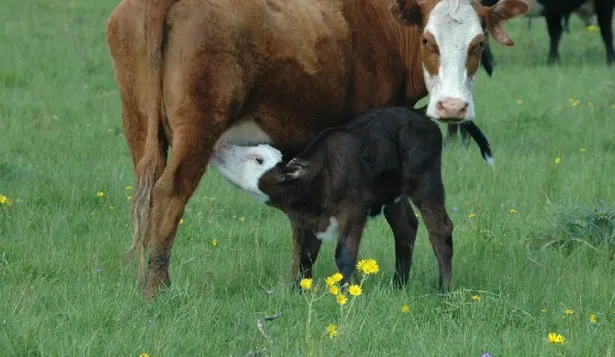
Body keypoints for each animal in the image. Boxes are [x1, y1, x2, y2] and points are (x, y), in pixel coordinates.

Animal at [209, 107, 454, 290]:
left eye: (258, 159)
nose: (220, 145)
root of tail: (422, 117)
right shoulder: (308, 220)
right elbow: (305, 255)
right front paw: (299, 290)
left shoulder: (354, 210)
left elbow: (344, 254)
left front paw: (346, 293)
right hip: (393, 193)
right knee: (406, 226)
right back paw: (398, 286)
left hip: (426, 179)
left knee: (440, 229)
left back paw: (444, 290)